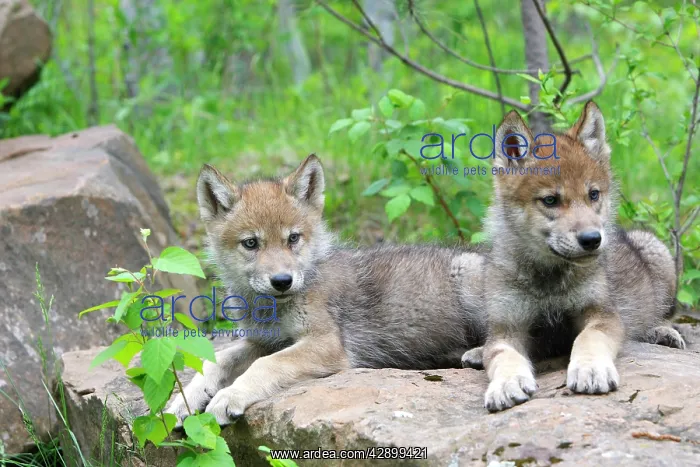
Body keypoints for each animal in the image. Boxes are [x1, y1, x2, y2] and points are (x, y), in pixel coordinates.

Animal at [166, 154, 486, 425]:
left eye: (293, 238)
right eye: (251, 243)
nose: (282, 280)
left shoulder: (325, 345)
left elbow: (265, 366)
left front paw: (228, 396)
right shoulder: (264, 341)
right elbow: (216, 360)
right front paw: (185, 400)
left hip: (468, 276)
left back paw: (477, 354)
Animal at [468, 101, 685, 413]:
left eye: (593, 194)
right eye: (550, 200)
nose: (592, 240)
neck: (549, 280)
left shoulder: (601, 313)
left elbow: (588, 339)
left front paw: (591, 370)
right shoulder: (509, 328)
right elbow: (501, 356)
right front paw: (506, 383)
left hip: (657, 252)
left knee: (663, 315)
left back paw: (661, 331)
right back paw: (475, 351)